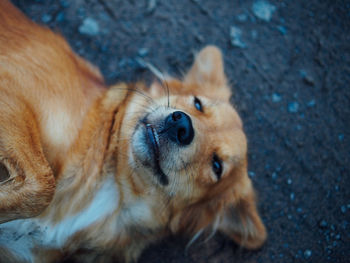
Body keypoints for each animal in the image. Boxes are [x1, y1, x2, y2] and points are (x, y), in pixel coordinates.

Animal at [0, 1, 266, 262]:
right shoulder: (10, 95)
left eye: (216, 166)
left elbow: (41, 187)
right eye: (198, 104)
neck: (113, 190)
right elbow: (44, 183)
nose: (181, 125)